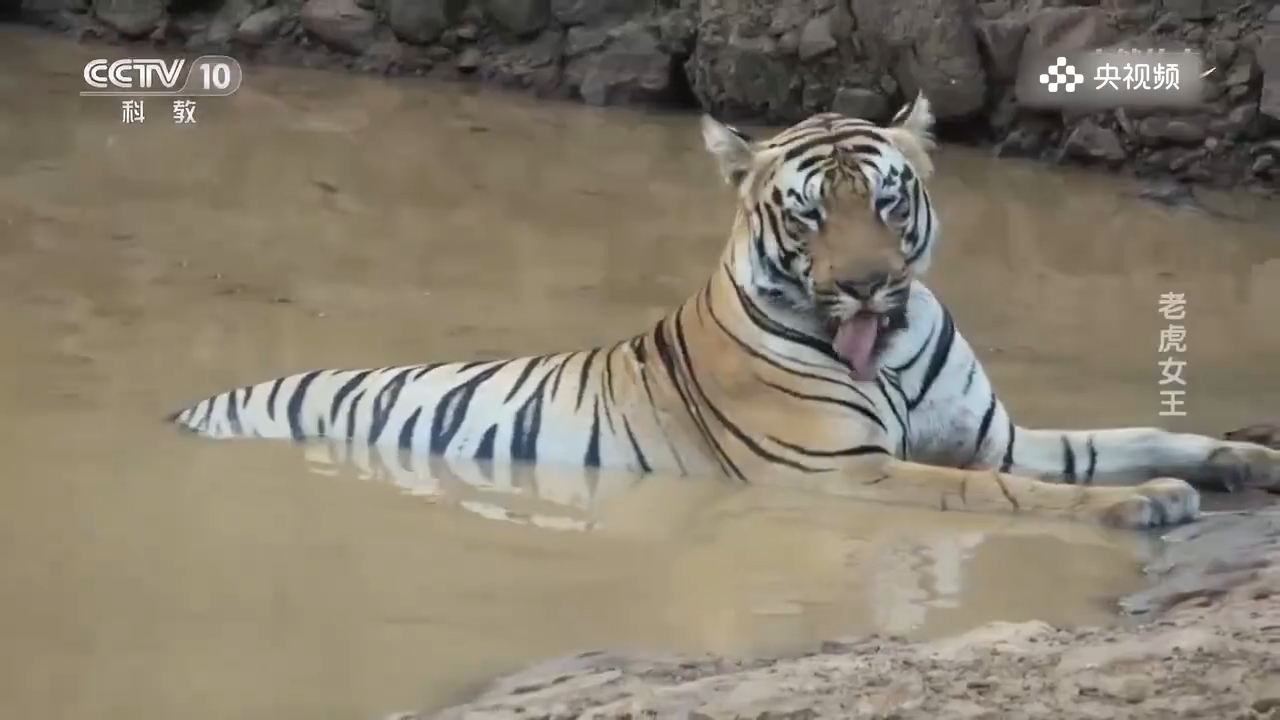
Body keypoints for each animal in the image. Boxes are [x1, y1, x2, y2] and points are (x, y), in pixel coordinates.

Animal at [168, 93, 1280, 530]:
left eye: (887, 201)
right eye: (810, 211)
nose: (867, 283)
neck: (889, 345)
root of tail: (193, 402)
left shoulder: (990, 435)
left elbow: (1126, 435)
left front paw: (1240, 457)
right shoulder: (850, 473)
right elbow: (1004, 495)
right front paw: (1143, 504)